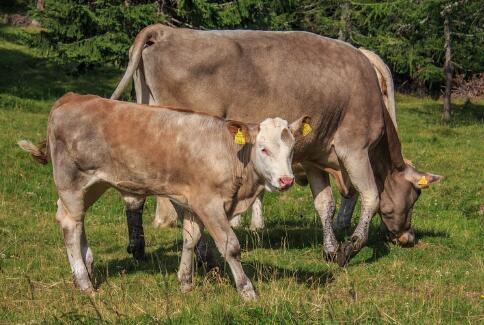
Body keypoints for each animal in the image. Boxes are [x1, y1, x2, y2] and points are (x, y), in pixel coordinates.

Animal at [19, 91, 310, 298]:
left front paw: (185, 282)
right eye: (263, 149)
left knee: (76, 220)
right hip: (71, 181)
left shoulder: (193, 202)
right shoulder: (210, 203)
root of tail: (72, 97)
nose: (286, 180)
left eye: (291, 149)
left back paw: (88, 268)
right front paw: (247, 290)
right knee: (70, 224)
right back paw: (83, 282)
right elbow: (231, 246)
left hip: (94, 184)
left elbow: (190, 240)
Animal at [110, 24, 442, 264]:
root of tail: (164, 31)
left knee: (134, 193)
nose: (408, 237)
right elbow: (370, 196)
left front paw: (331, 249)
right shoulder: (355, 149)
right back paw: (203, 254)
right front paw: (351, 248)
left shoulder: (313, 155)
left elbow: (325, 204)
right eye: (415, 196)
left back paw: (138, 248)